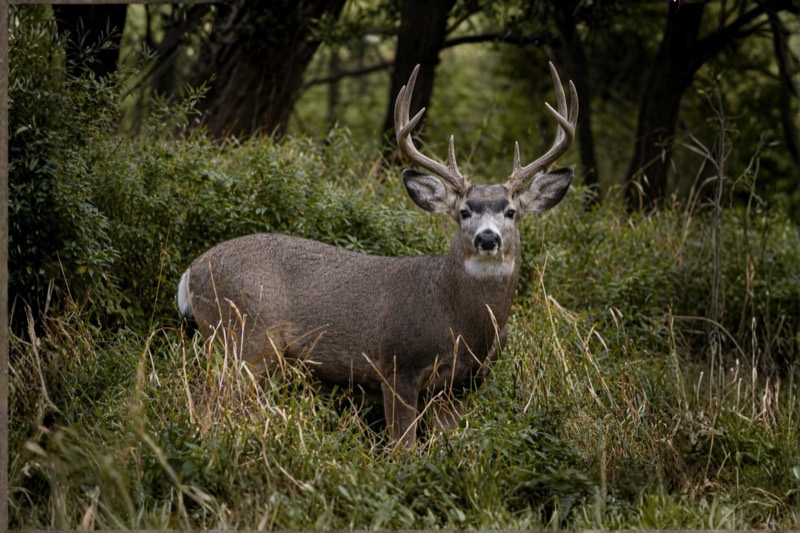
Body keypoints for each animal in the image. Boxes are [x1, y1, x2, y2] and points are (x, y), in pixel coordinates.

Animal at [177, 62, 578, 446]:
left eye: (510, 211)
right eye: (464, 212)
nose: (488, 238)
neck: (458, 321)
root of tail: (190, 273)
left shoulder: (460, 386)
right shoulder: (398, 367)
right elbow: (403, 448)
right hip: (242, 335)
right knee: (205, 401)